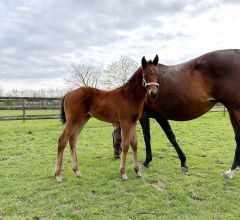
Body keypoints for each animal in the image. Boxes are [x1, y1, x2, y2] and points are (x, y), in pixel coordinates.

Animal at [113, 49, 240, 179]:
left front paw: (147, 161)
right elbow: (169, 136)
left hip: (235, 110)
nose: (116, 155)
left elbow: (153, 137)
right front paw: (183, 162)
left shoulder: (150, 115)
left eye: (113, 136)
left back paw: (231, 171)